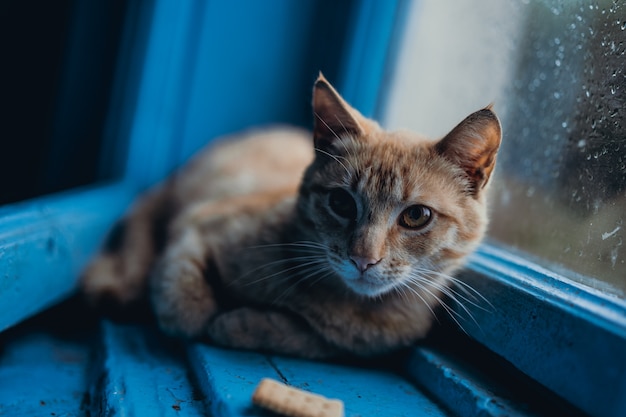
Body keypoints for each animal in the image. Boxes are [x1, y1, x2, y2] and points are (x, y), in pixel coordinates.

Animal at [81, 72, 502, 358]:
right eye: (342, 203)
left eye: (416, 216)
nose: (362, 259)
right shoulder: (194, 227)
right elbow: (187, 308)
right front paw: (208, 316)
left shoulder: (357, 343)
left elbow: (310, 339)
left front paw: (240, 324)